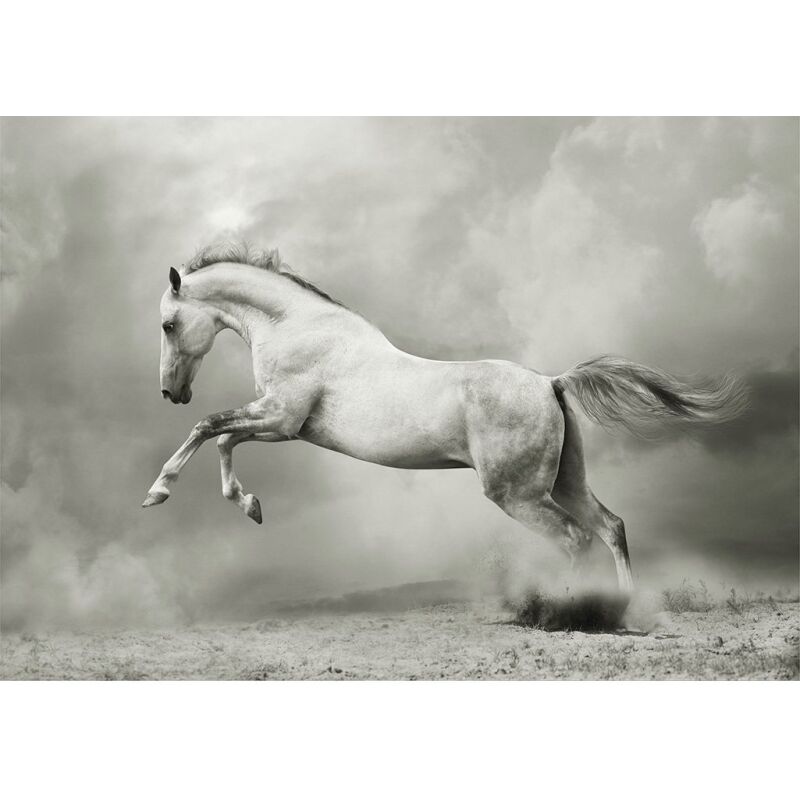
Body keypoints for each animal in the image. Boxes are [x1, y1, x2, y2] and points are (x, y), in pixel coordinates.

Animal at [143, 244, 748, 593]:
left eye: (169, 324)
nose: (171, 393)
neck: (296, 326)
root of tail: (550, 383)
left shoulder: (281, 419)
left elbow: (209, 429)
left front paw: (158, 492)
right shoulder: (279, 425)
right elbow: (222, 440)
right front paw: (250, 506)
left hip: (518, 494)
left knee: (576, 538)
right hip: (564, 481)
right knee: (610, 527)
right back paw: (623, 610)